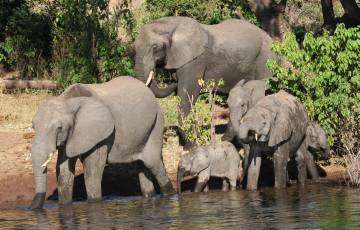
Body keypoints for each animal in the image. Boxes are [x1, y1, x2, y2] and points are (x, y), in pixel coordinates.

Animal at [28, 76, 174, 209]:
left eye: (59, 128)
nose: (30, 208)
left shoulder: (100, 135)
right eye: (33, 126)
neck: (68, 101)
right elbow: (64, 172)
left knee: (152, 162)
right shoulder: (71, 136)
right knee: (142, 165)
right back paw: (149, 196)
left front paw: (94, 204)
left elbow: (92, 172)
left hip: (157, 122)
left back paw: (169, 195)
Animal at [134, 16, 278, 117]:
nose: (173, 82)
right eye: (134, 46)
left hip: (266, 59)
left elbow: (188, 92)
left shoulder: (196, 60)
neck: (170, 24)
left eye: (155, 47)